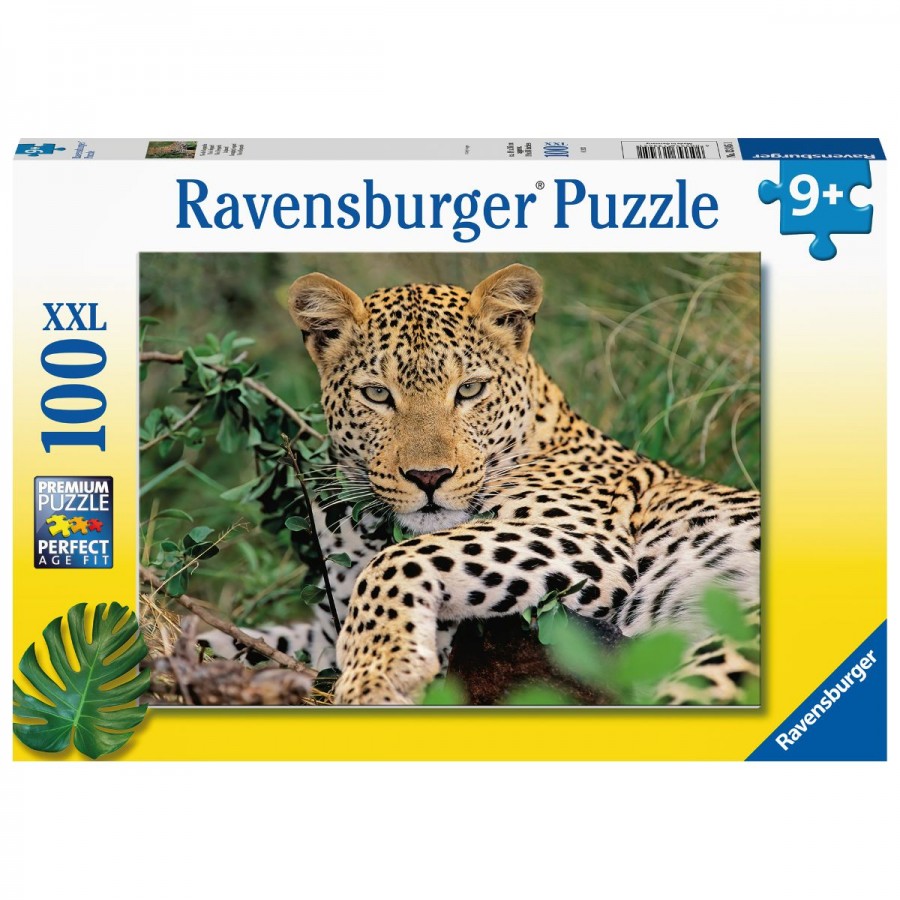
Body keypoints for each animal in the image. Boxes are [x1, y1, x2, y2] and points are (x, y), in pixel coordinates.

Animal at [200, 263, 760, 705]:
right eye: (377, 394)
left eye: (469, 390)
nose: (429, 477)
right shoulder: (324, 627)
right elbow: (247, 637)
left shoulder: (591, 544)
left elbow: (399, 560)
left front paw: (379, 673)